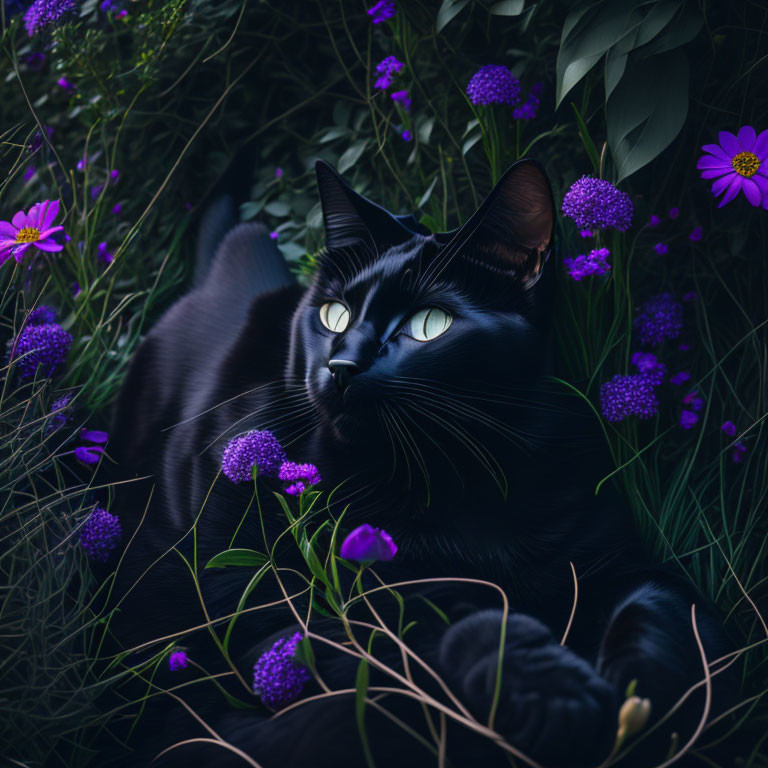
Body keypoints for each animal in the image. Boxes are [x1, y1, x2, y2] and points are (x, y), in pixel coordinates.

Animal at [106, 159, 732, 764]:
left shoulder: (622, 561)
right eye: (333, 315)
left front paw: (640, 708)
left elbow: (659, 613)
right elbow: (422, 631)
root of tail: (234, 269)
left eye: (430, 325)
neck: (469, 479)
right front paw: (550, 689)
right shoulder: (281, 630)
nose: (341, 366)